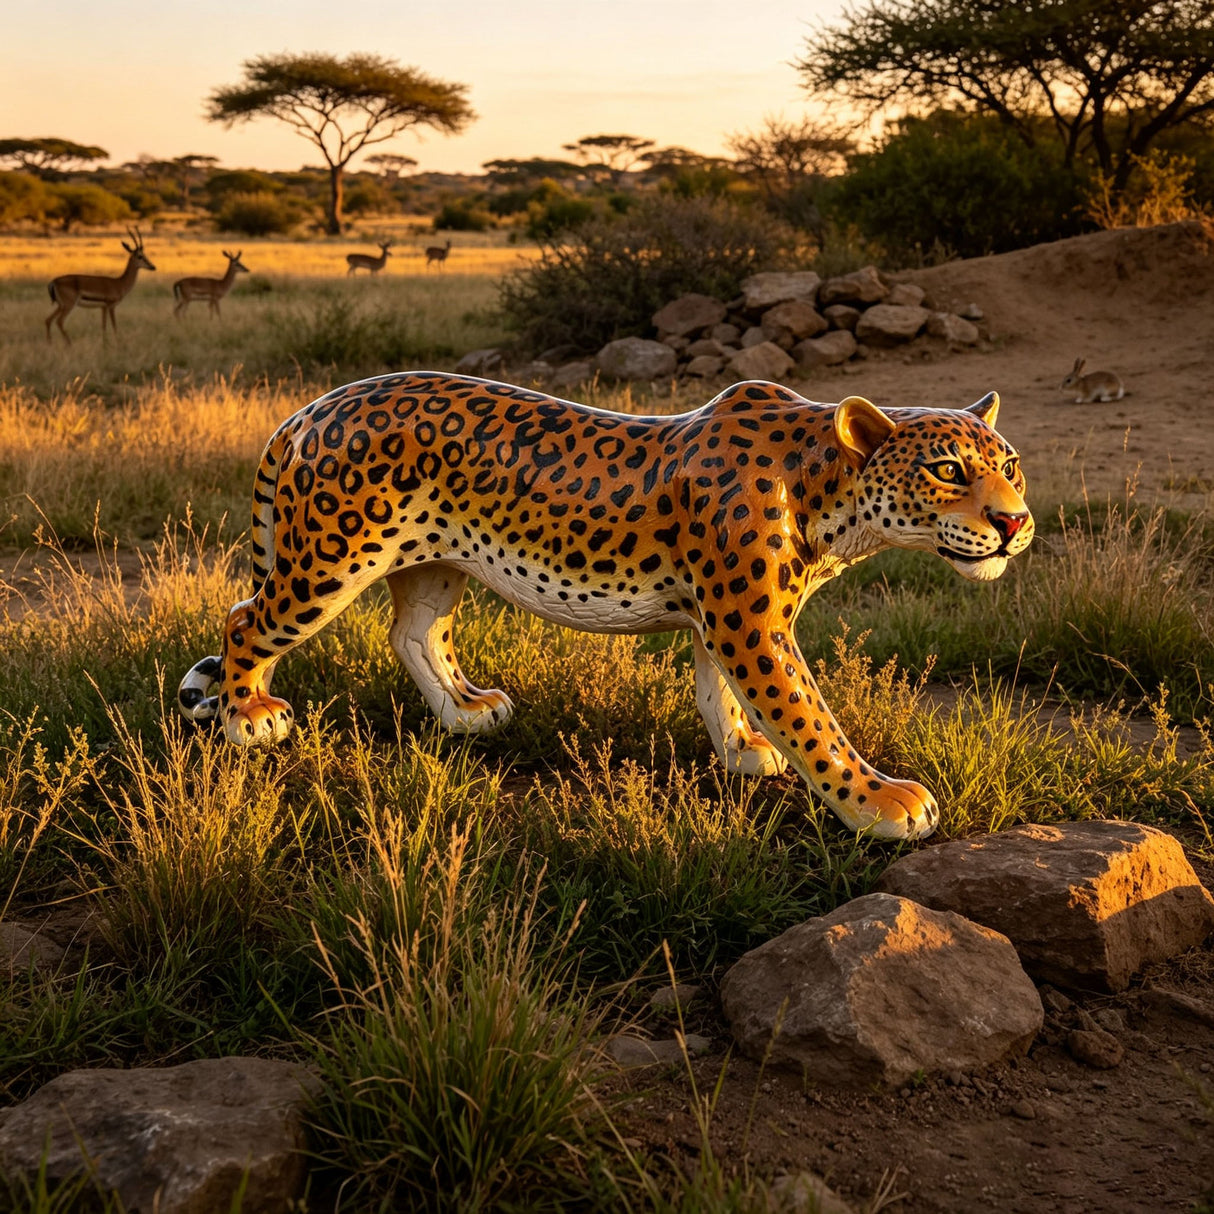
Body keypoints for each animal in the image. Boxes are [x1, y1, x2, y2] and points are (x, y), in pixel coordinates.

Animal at [178, 373, 1033, 840]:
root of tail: (311, 408)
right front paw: (880, 800)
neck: (828, 488)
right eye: (949, 469)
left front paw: (742, 753)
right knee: (246, 619)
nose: (1015, 522)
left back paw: (466, 713)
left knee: (412, 631)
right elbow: (809, 718)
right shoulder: (751, 621)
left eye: (1011, 465)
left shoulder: (723, 618)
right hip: (330, 558)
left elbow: (720, 693)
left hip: (433, 559)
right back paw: (249, 718)